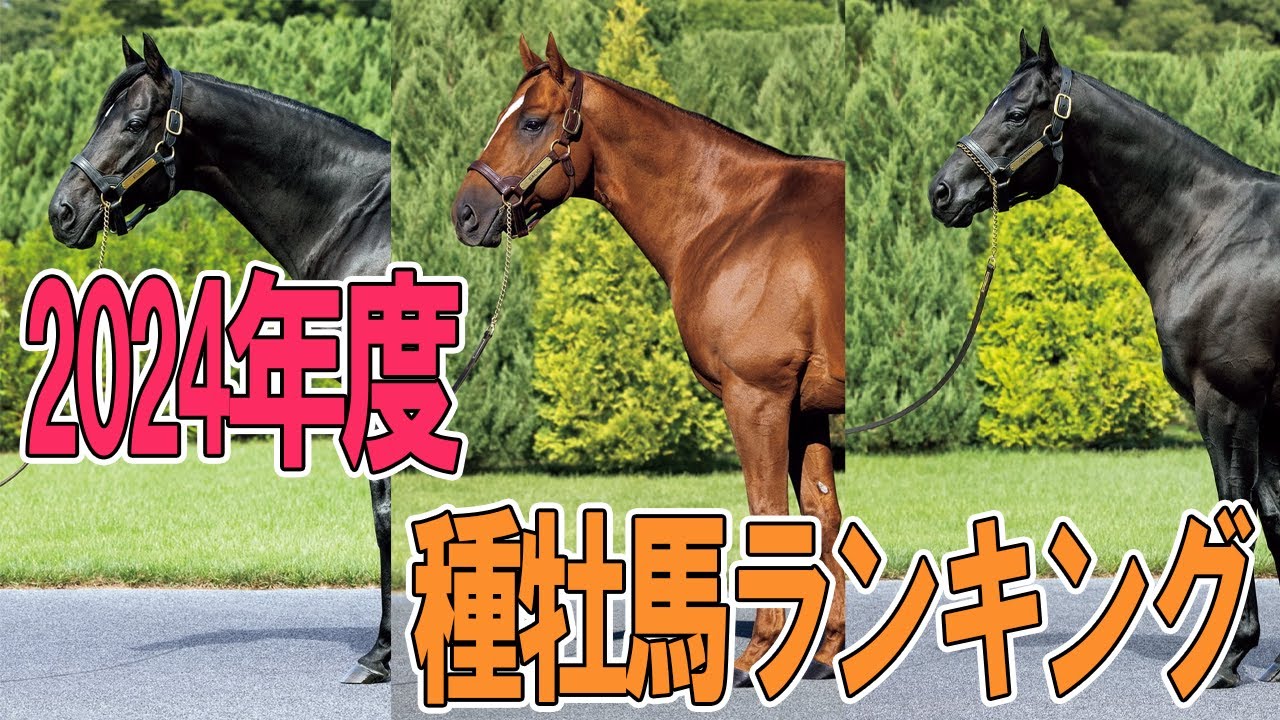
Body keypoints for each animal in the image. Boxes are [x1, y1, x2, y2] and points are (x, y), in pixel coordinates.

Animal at [451, 34, 847, 688]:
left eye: (532, 122)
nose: (465, 213)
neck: (734, 218)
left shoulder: (759, 397)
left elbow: (769, 513)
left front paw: (758, 654)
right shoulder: (807, 407)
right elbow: (823, 516)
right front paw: (823, 650)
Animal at [930, 28, 1280, 689]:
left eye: (1016, 113)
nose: (942, 191)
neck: (1213, 232)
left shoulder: (1226, 402)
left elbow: (1238, 510)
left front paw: (1233, 654)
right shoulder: (1268, 407)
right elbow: (1272, 510)